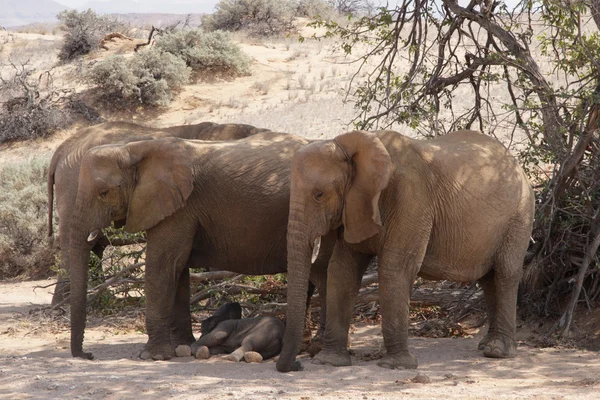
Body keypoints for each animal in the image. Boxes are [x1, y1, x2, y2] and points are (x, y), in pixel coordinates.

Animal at [70, 133, 338, 360]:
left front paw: (152, 356)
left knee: (322, 275)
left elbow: (162, 266)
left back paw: (317, 349)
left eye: (103, 193)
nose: (88, 355)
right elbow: (177, 270)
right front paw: (181, 347)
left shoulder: (178, 208)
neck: (133, 148)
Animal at [276, 130, 536, 372]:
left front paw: (396, 366)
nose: (297, 365)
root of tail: (517, 164)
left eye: (319, 195)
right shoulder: (354, 208)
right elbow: (342, 270)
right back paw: (486, 346)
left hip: (520, 215)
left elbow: (395, 268)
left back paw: (498, 352)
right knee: (488, 279)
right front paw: (329, 362)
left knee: (504, 274)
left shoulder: (411, 199)